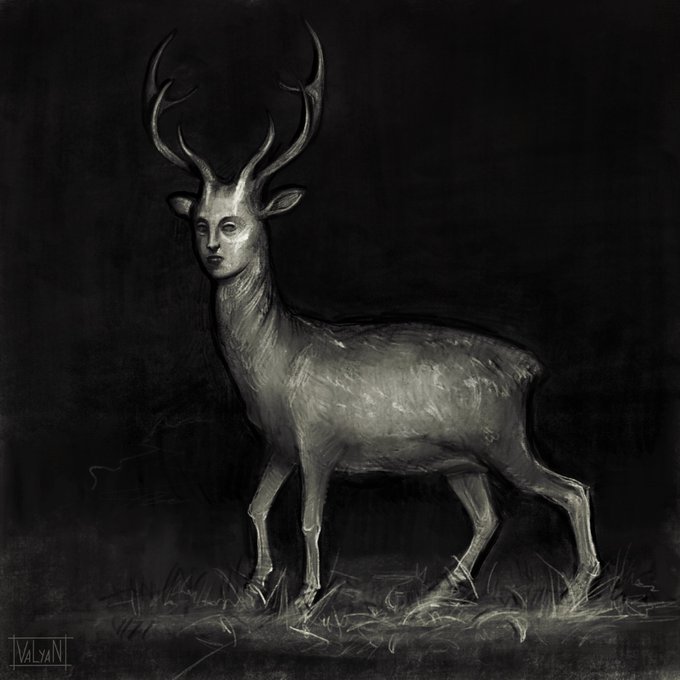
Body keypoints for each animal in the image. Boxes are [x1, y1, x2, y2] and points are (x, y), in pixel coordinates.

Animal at [143, 25, 601, 612]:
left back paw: (573, 594)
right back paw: (430, 599)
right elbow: (255, 506)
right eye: (199, 222)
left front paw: (305, 599)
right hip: (461, 460)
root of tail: (531, 368)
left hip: (504, 440)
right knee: (488, 516)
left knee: (572, 490)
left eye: (235, 222)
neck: (276, 360)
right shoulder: (278, 445)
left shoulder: (319, 439)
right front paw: (251, 591)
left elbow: (310, 520)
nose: (215, 253)